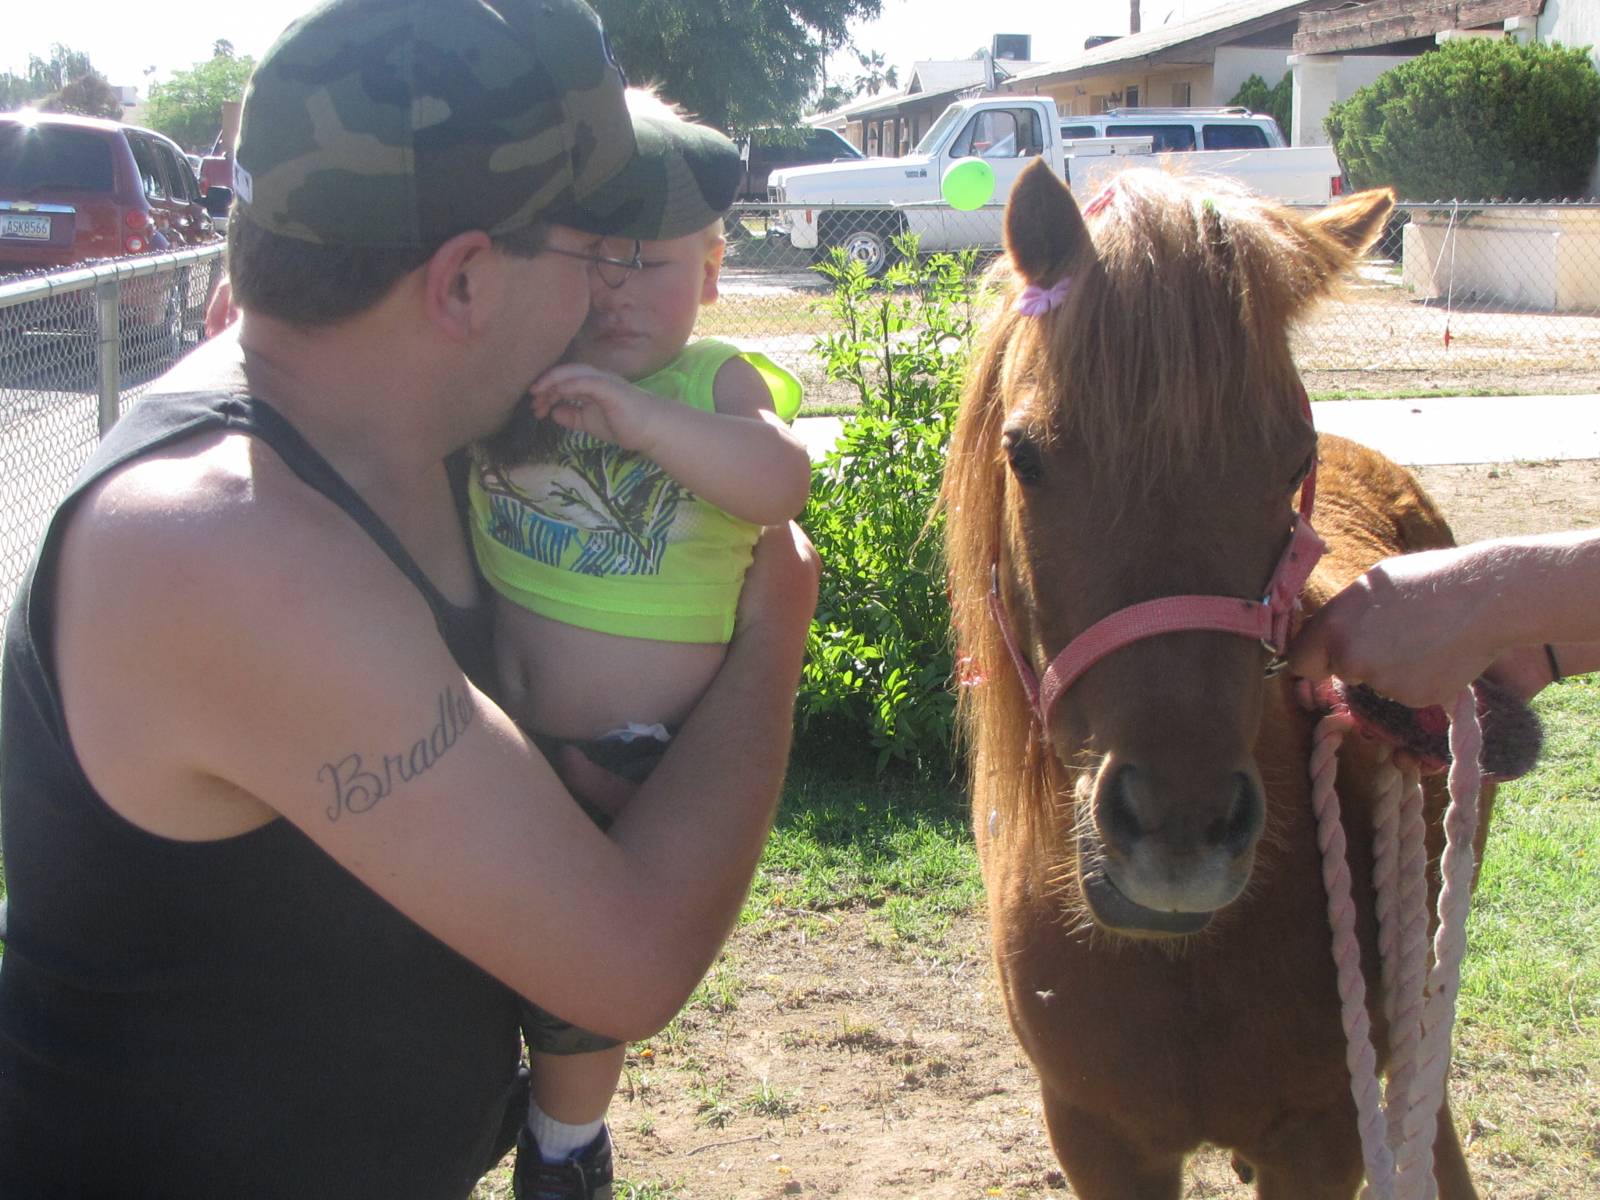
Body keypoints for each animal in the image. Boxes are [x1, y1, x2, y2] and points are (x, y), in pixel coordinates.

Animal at [941, 160, 1495, 1198]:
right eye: (1024, 454)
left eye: (1293, 457)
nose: (1181, 829)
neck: (1185, 960)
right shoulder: (1100, 1141)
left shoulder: (1321, 1139)